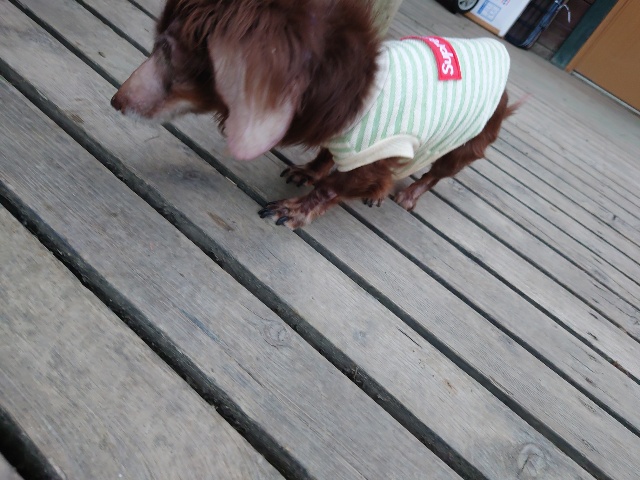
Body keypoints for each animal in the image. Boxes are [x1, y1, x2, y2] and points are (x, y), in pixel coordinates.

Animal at [111, 0, 518, 229]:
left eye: (166, 49)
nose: (115, 101)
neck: (348, 92)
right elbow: (325, 157)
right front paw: (307, 171)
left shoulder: (376, 152)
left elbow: (334, 186)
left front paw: (295, 210)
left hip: (464, 144)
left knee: (435, 174)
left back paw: (408, 195)